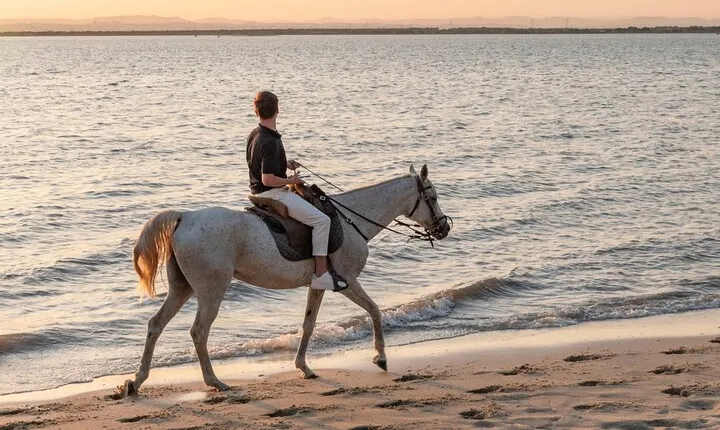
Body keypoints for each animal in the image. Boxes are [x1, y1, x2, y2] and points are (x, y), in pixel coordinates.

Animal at [122, 164, 451, 396]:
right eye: (433, 197)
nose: (444, 227)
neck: (352, 220)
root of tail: (185, 217)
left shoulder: (319, 285)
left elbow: (308, 324)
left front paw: (303, 367)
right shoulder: (347, 281)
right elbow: (374, 310)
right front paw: (380, 357)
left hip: (183, 288)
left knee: (155, 324)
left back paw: (137, 381)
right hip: (210, 290)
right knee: (199, 331)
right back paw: (215, 381)